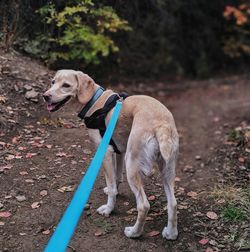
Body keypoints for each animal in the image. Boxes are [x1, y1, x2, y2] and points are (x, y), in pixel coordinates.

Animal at [43, 70, 180, 239]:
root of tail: (161, 124)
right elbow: (116, 177)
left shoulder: (106, 153)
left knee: (143, 205)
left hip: (132, 165)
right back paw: (171, 234)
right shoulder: (119, 150)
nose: (45, 96)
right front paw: (112, 190)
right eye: (52, 82)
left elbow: (112, 184)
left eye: (66, 85)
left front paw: (109, 208)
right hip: (166, 169)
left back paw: (134, 232)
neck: (94, 101)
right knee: (173, 203)